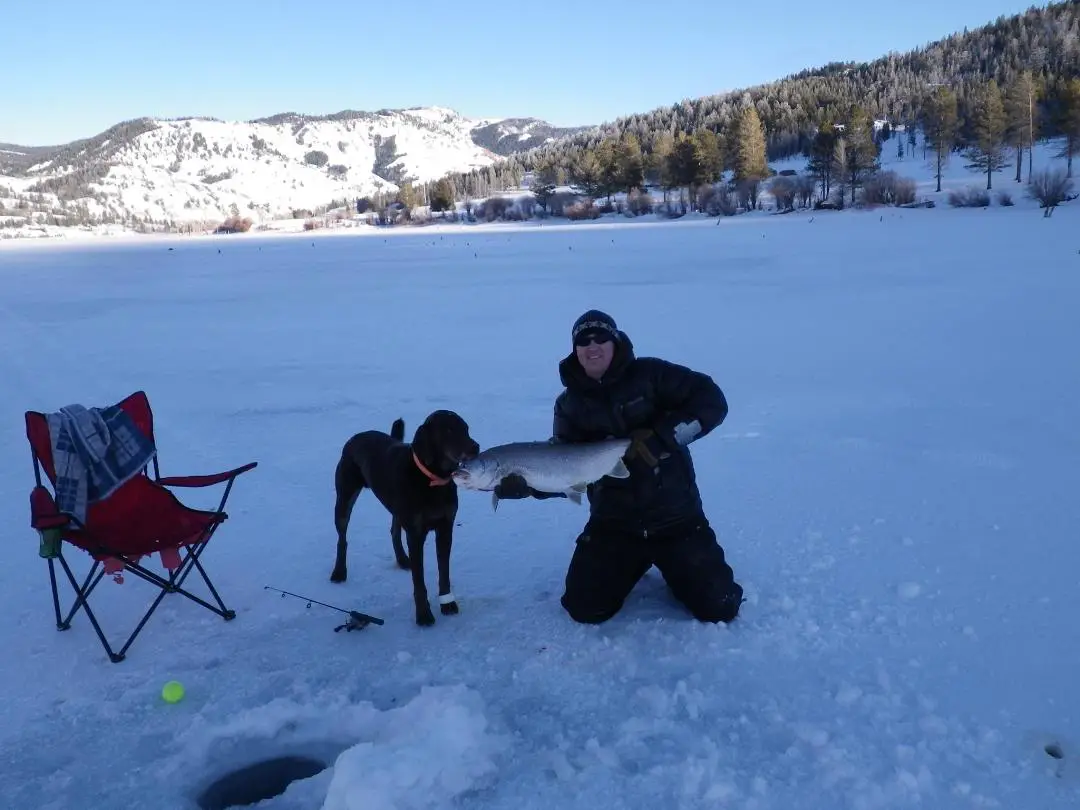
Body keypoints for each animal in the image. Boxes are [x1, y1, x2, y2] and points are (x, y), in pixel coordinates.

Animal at [330, 412, 479, 626]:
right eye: (448, 430)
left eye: (466, 428)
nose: (476, 447)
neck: (432, 479)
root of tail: (356, 436)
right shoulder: (416, 533)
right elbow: (419, 581)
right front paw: (424, 615)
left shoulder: (445, 527)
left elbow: (444, 573)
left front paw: (447, 604)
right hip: (345, 496)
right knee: (342, 537)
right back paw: (339, 572)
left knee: (394, 529)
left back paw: (401, 559)